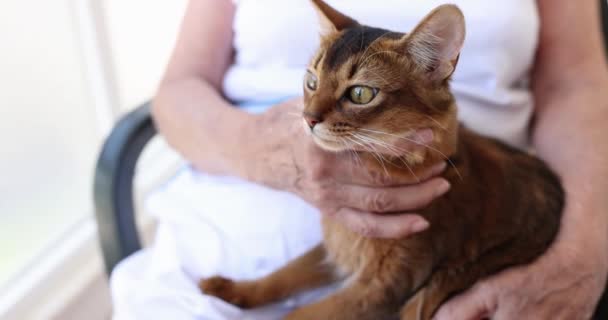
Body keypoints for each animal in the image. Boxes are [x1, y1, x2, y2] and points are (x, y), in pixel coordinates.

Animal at [201, 1, 564, 318]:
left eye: (360, 94)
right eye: (311, 81)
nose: (308, 118)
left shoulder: (383, 288)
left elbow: (299, 315)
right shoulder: (337, 247)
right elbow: (287, 273)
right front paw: (235, 289)